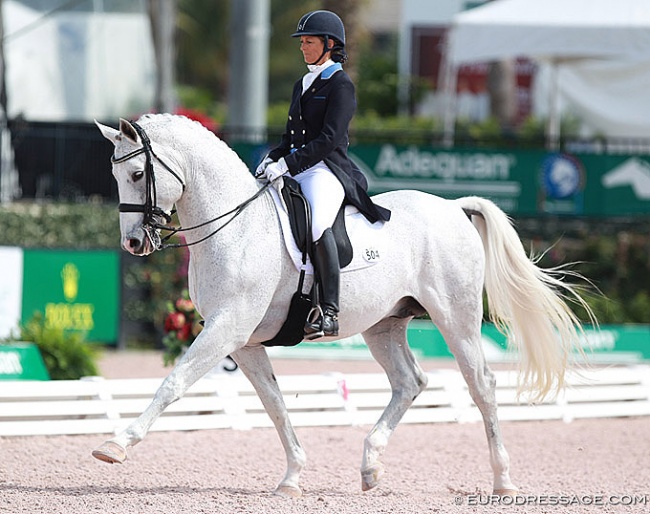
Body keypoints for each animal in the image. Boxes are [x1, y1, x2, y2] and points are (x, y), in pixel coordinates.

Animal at [92, 113, 592, 496]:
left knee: (482, 384)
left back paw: (503, 482)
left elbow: (174, 383)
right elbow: (274, 402)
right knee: (410, 381)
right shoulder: (244, 341)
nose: (135, 243)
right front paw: (292, 478)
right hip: (384, 324)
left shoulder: (227, 327)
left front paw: (116, 444)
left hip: (457, 317)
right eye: (114, 176)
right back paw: (371, 467)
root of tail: (452, 207)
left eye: (137, 175)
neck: (237, 225)